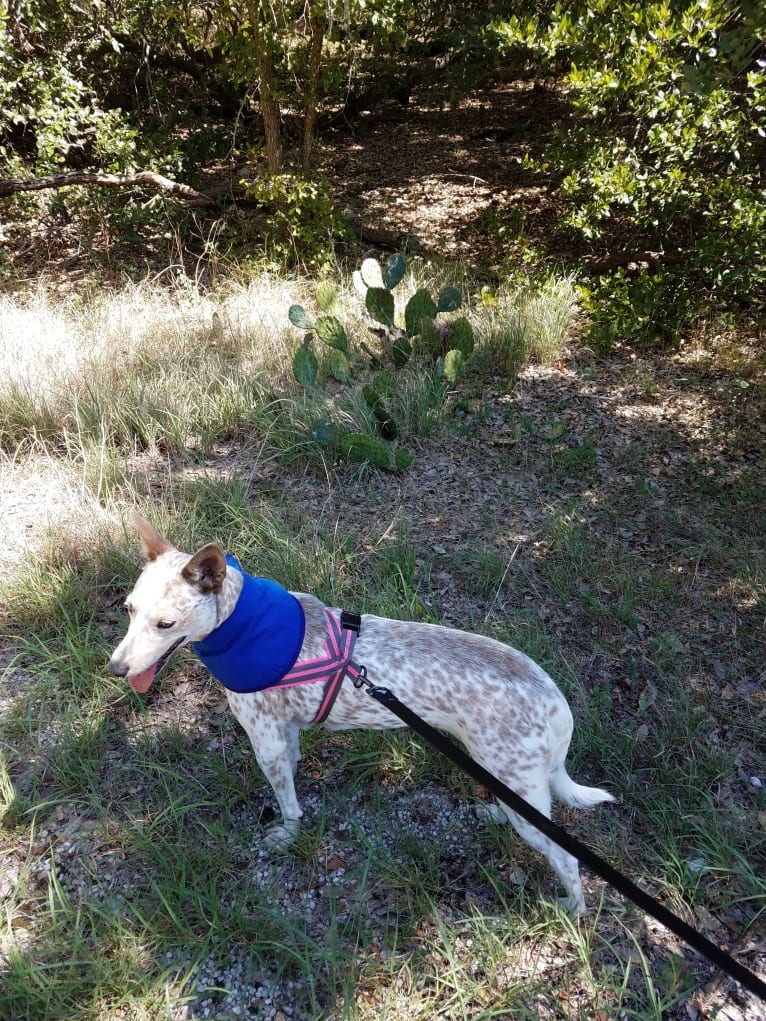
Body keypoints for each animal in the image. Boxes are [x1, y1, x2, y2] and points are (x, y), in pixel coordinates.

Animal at [108, 514, 616, 914]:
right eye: (128, 609)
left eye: (166, 624)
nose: (115, 668)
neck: (241, 623)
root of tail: (555, 700)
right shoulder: (284, 733)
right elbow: (293, 767)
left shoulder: (265, 741)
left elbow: (288, 804)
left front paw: (287, 835)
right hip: (511, 780)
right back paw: (494, 814)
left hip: (522, 790)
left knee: (567, 859)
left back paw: (572, 909)